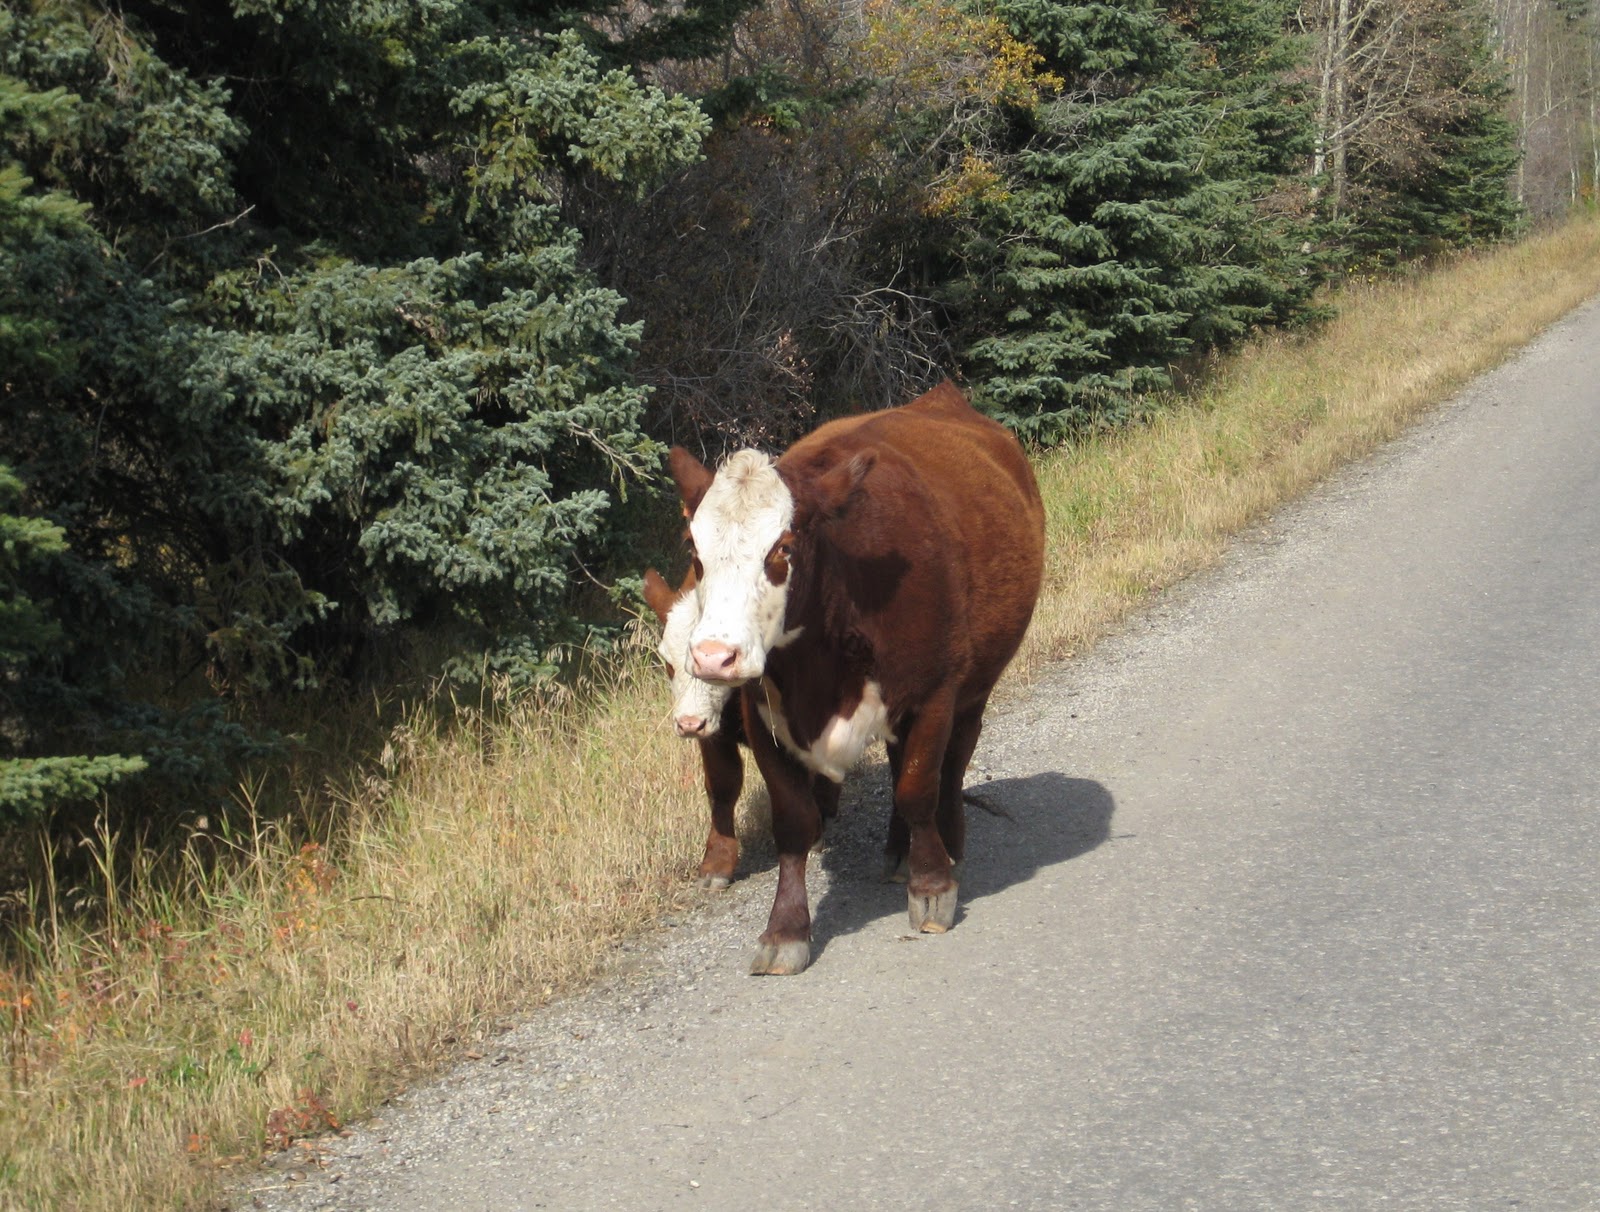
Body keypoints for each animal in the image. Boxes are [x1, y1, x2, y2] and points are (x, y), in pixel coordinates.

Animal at [667, 381, 1044, 974]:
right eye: (695, 552)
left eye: (783, 548)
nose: (712, 658)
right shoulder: (761, 715)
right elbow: (794, 820)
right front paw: (786, 929)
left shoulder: (935, 693)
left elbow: (918, 787)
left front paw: (932, 886)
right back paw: (898, 850)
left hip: (974, 688)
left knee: (951, 767)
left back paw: (947, 843)